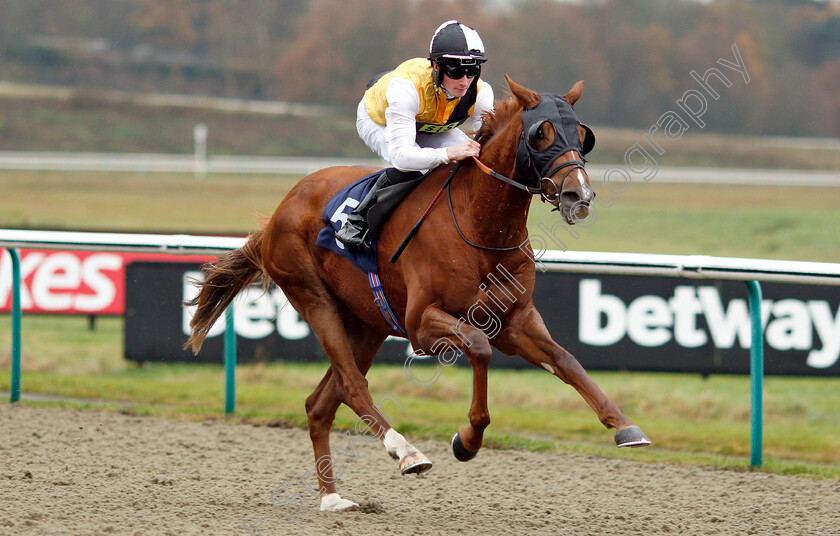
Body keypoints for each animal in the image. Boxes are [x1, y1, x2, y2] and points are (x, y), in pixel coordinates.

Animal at [189, 75, 648, 510]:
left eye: (582, 134)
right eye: (541, 133)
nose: (579, 195)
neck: (480, 224)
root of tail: (278, 213)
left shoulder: (516, 320)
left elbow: (566, 360)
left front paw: (625, 426)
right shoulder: (423, 325)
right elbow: (479, 347)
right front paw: (467, 439)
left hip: (367, 324)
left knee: (320, 404)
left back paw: (332, 498)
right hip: (313, 297)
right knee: (352, 386)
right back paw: (405, 451)